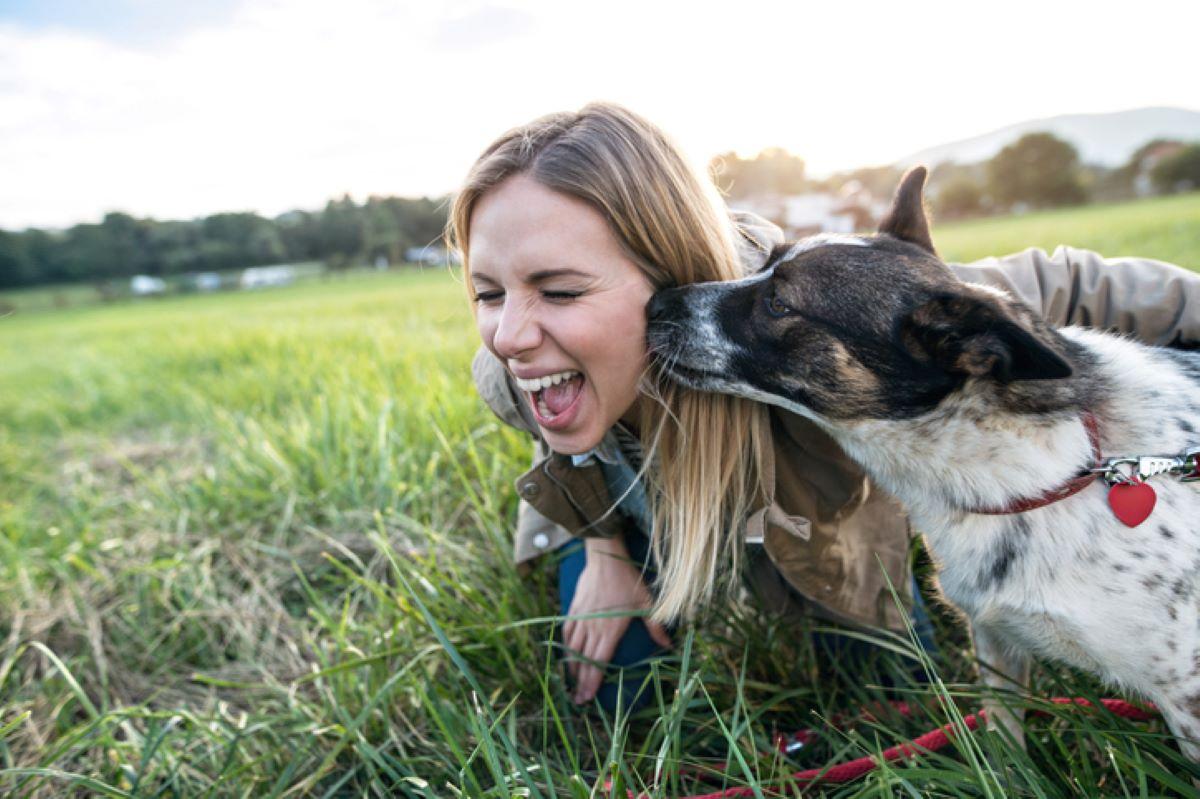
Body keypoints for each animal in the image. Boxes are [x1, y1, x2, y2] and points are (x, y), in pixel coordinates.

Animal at [648, 167, 1200, 753]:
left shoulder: (1187, 697)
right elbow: (1006, 752)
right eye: (764, 262)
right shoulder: (996, 644)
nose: (654, 303)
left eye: (778, 302)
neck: (1064, 467)